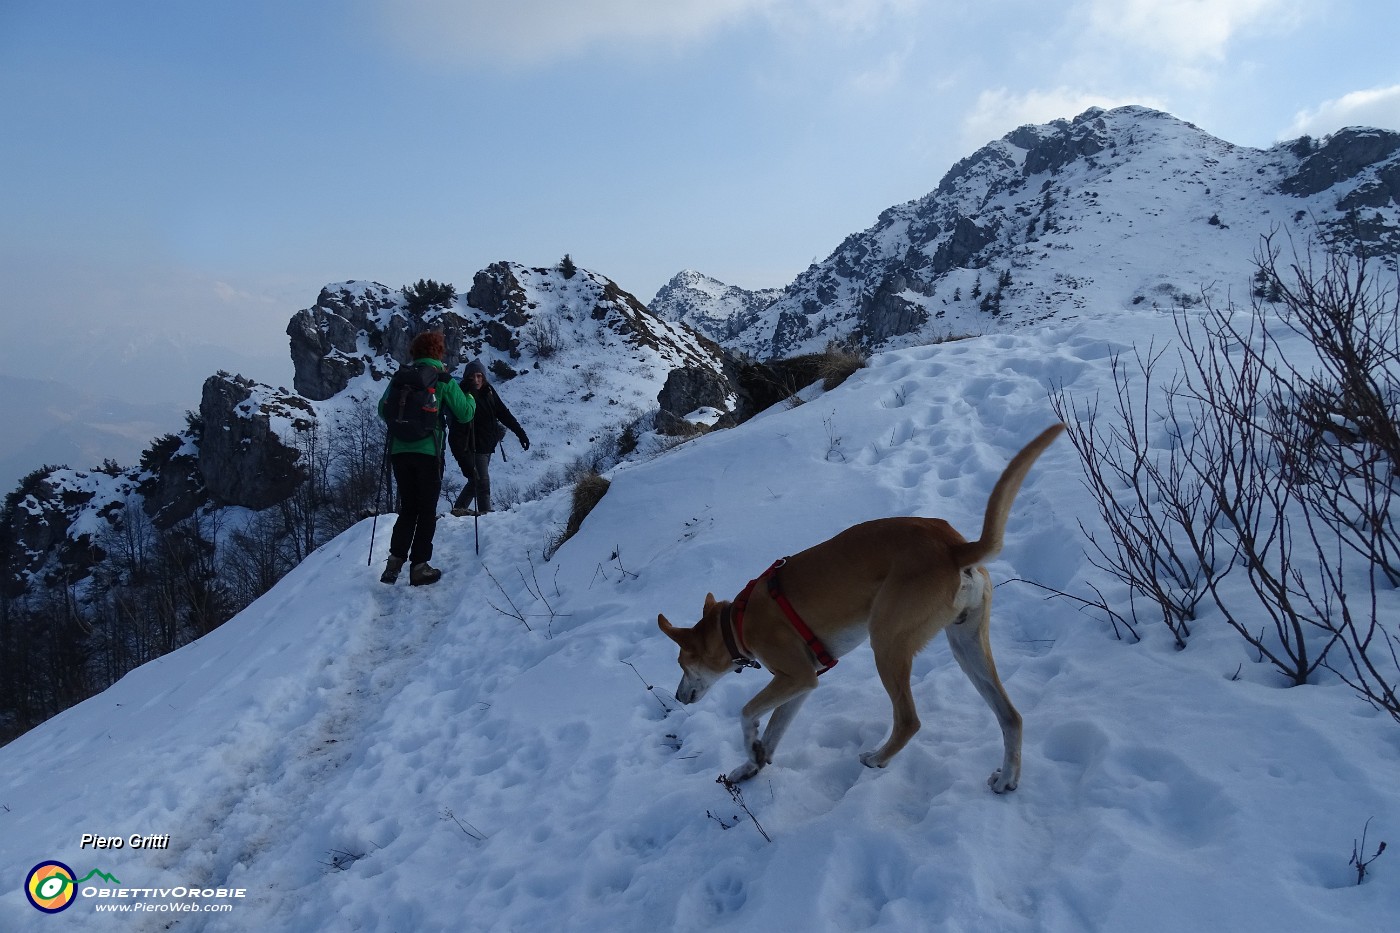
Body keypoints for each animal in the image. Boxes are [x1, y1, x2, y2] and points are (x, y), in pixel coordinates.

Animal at [655, 423, 1058, 790]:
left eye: (682, 665)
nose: (678, 697)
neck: (737, 619)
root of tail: (954, 548)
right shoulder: (801, 681)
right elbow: (773, 731)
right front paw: (751, 763)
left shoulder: (795, 676)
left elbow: (746, 713)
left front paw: (750, 744)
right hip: (967, 644)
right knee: (1011, 716)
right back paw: (1006, 778)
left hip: (887, 642)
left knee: (909, 720)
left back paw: (878, 757)